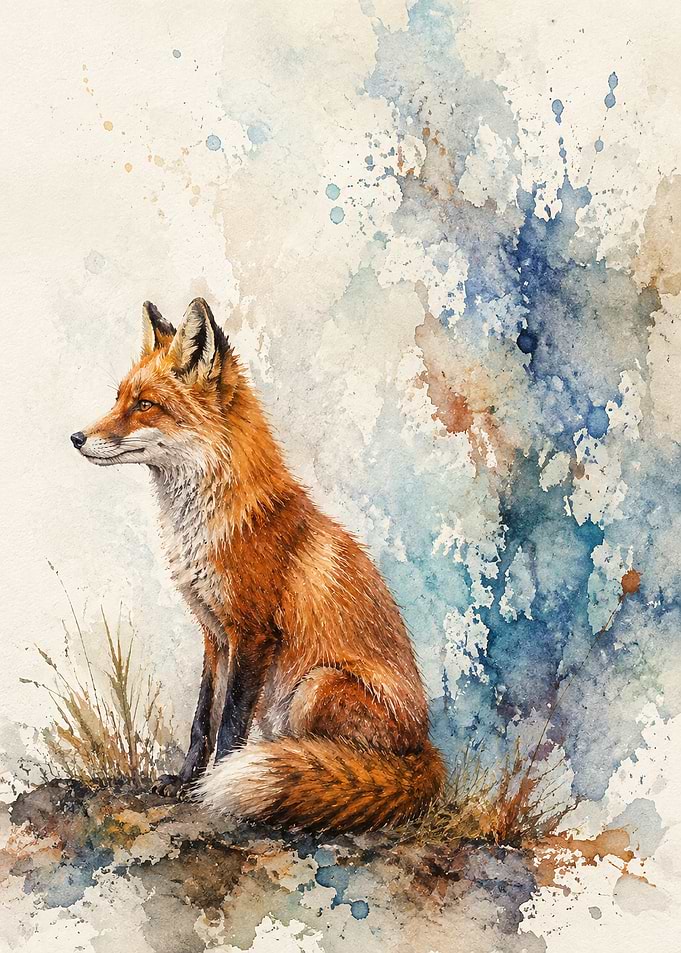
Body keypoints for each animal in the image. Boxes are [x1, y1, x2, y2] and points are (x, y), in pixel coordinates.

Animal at [71, 297, 445, 832]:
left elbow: (229, 723)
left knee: (352, 760)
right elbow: (202, 718)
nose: (76, 437)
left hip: (315, 686)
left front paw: (212, 788)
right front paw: (184, 781)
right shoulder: (214, 632)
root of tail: (426, 752)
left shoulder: (253, 632)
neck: (208, 526)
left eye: (144, 405)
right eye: (119, 398)